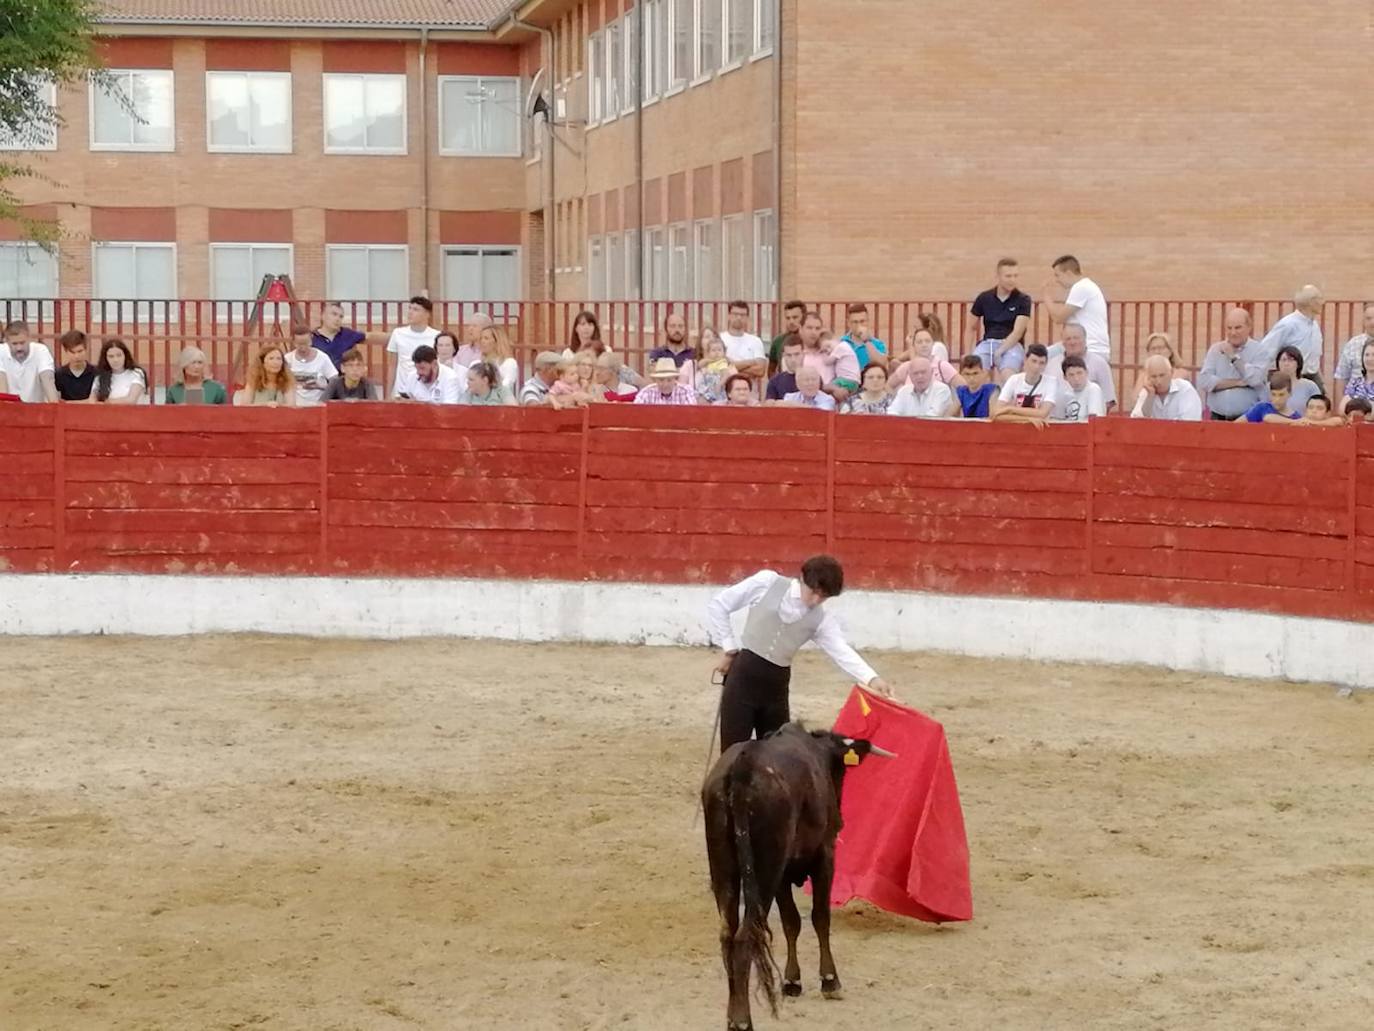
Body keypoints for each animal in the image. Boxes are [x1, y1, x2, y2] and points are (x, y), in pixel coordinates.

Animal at [703, 725, 895, 1031]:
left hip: (724, 869)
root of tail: (742, 767)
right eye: (840, 773)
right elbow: (820, 917)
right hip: (765, 870)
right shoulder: (824, 857)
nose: (840, 820)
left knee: (727, 935)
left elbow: (791, 922)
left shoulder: (783, 875)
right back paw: (743, 1020)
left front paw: (792, 981)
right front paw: (830, 980)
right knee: (745, 936)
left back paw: (732, 1016)